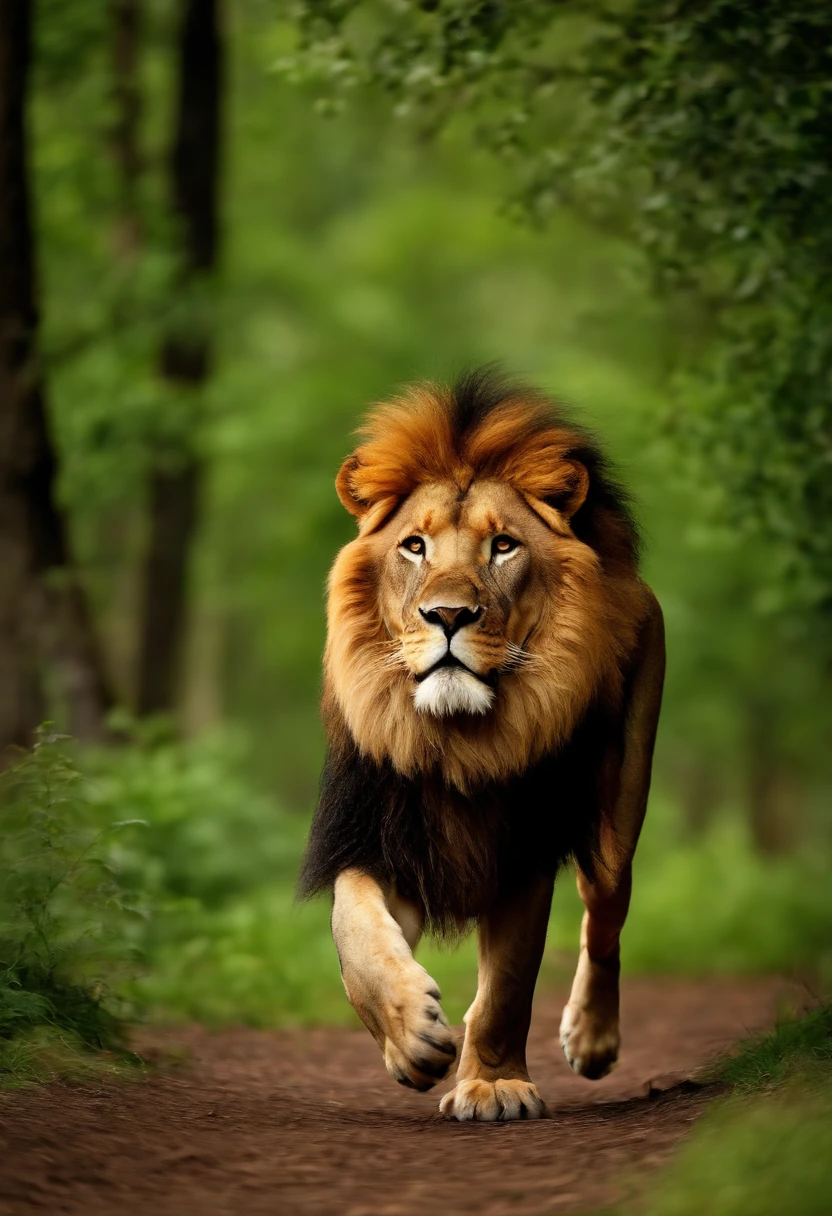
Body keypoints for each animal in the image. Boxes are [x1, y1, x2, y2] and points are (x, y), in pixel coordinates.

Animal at [299, 369, 664, 1121]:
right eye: (415, 546)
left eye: (503, 547)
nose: (448, 615)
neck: (455, 741)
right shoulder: (382, 837)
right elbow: (356, 932)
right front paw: (410, 1037)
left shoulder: (522, 855)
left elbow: (508, 988)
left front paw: (495, 1087)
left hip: (618, 811)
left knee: (606, 917)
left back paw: (592, 1038)